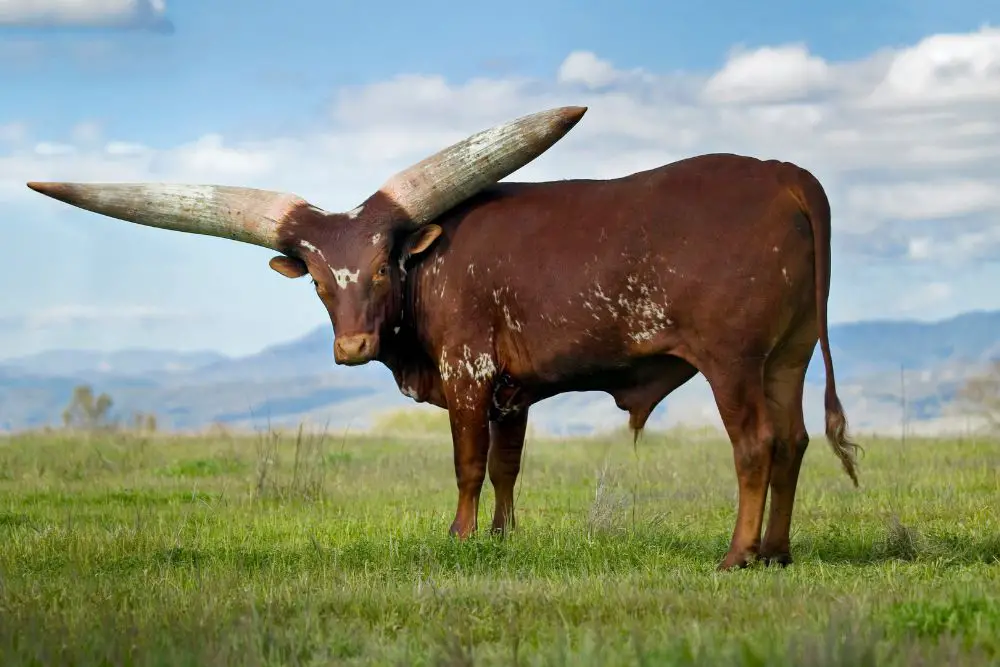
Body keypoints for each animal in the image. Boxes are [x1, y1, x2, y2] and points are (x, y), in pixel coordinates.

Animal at [29, 107, 860, 572]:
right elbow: (508, 466)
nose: (352, 347)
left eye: (381, 264)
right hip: (786, 357)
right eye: (319, 280)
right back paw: (778, 552)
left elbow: (467, 464)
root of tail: (784, 174)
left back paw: (737, 554)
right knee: (792, 442)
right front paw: (503, 535)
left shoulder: (469, 372)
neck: (426, 270)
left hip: (734, 361)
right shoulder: (515, 390)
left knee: (754, 445)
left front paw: (460, 536)